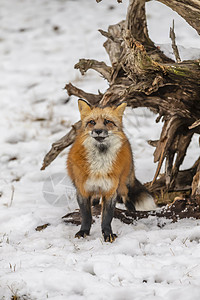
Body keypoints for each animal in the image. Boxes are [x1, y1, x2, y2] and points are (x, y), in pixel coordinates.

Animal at [67, 99, 156, 243]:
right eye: (92, 122)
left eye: (108, 121)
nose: (98, 131)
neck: (99, 166)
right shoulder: (83, 191)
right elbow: (86, 215)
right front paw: (83, 231)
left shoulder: (110, 191)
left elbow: (107, 218)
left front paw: (108, 234)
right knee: (96, 201)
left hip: (123, 183)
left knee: (126, 197)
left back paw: (131, 211)